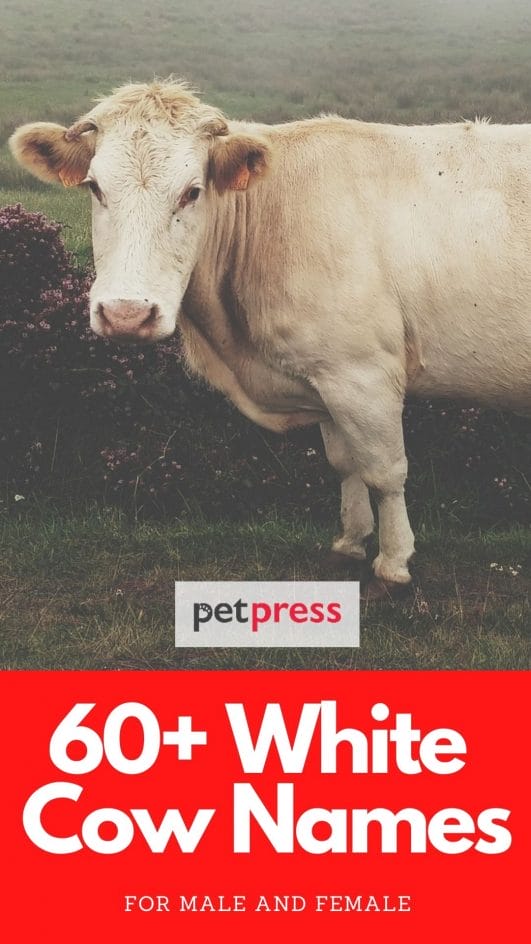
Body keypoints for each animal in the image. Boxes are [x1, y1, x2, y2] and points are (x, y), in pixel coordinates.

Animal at [10, 80, 531, 595]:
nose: (126, 314)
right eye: (94, 187)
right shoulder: (328, 374)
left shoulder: (363, 374)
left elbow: (385, 472)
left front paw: (394, 563)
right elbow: (345, 464)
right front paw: (349, 544)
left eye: (192, 192)